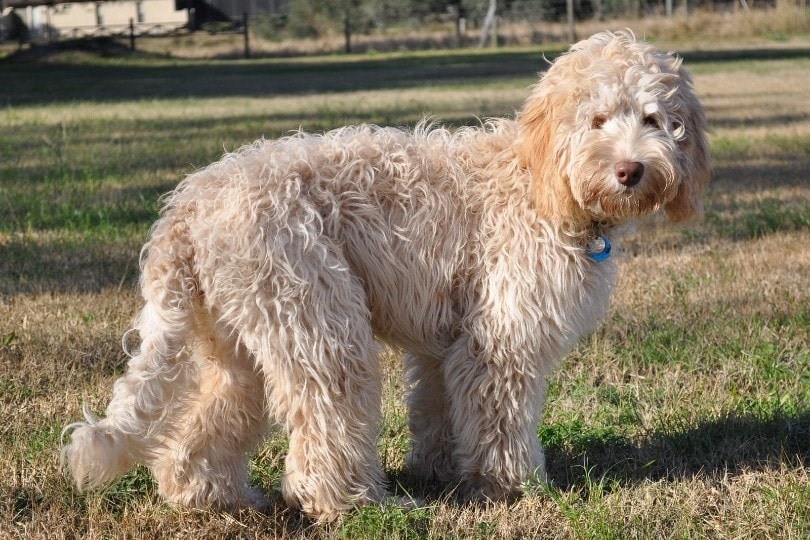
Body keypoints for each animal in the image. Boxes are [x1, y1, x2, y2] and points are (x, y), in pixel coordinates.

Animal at [61, 31, 708, 520]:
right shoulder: (500, 339)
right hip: (319, 324)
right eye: (597, 119)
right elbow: (500, 418)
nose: (631, 170)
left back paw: (214, 499)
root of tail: (188, 205)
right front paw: (513, 487)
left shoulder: (448, 343)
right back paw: (356, 505)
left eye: (654, 119)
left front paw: (441, 472)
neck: (538, 177)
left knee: (202, 428)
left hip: (240, 343)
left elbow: (438, 410)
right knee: (325, 424)